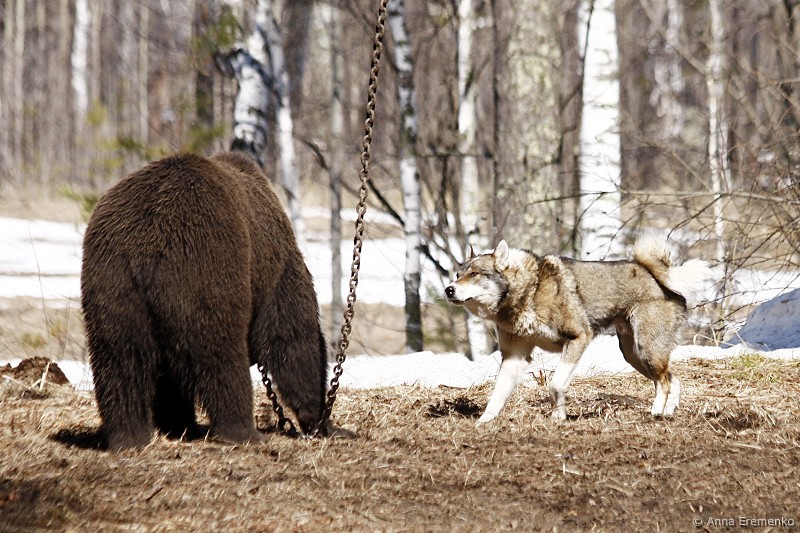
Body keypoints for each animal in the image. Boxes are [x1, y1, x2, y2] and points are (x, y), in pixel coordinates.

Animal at [81, 151, 328, 451]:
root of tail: (149, 242)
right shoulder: (277, 267)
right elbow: (294, 336)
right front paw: (318, 419)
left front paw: (176, 422)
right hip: (206, 263)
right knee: (221, 354)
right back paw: (243, 432)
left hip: (112, 279)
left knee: (121, 358)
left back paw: (128, 437)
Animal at [445, 234, 712, 423]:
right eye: (457, 274)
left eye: (474, 273)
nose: (448, 289)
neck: (528, 291)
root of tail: (660, 277)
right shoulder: (515, 357)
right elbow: (497, 395)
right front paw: (483, 423)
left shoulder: (578, 338)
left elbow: (554, 385)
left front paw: (558, 416)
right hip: (634, 355)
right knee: (671, 380)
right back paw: (667, 413)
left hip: (647, 350)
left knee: (665, 382)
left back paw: (655, 412)